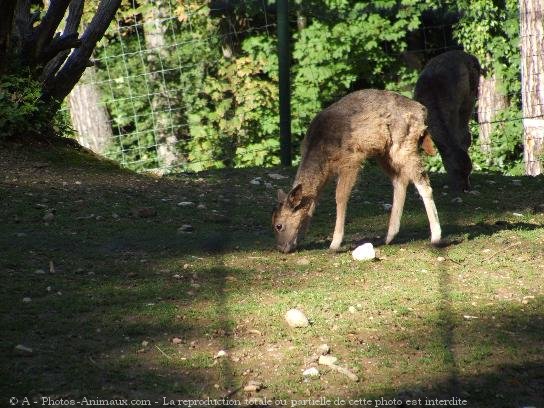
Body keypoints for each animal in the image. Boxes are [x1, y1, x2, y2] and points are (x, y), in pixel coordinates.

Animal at [272, 90, 442, 252]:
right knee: (400, 180)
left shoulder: (351, 159)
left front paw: (335, 243)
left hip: (404, 144)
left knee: (423, 184)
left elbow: (340, 196)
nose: (281, 248)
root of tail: (422, 111)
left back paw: (435, 236)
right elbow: (313, 203)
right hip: (384, 152)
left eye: (279, 225)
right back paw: (389, 236)